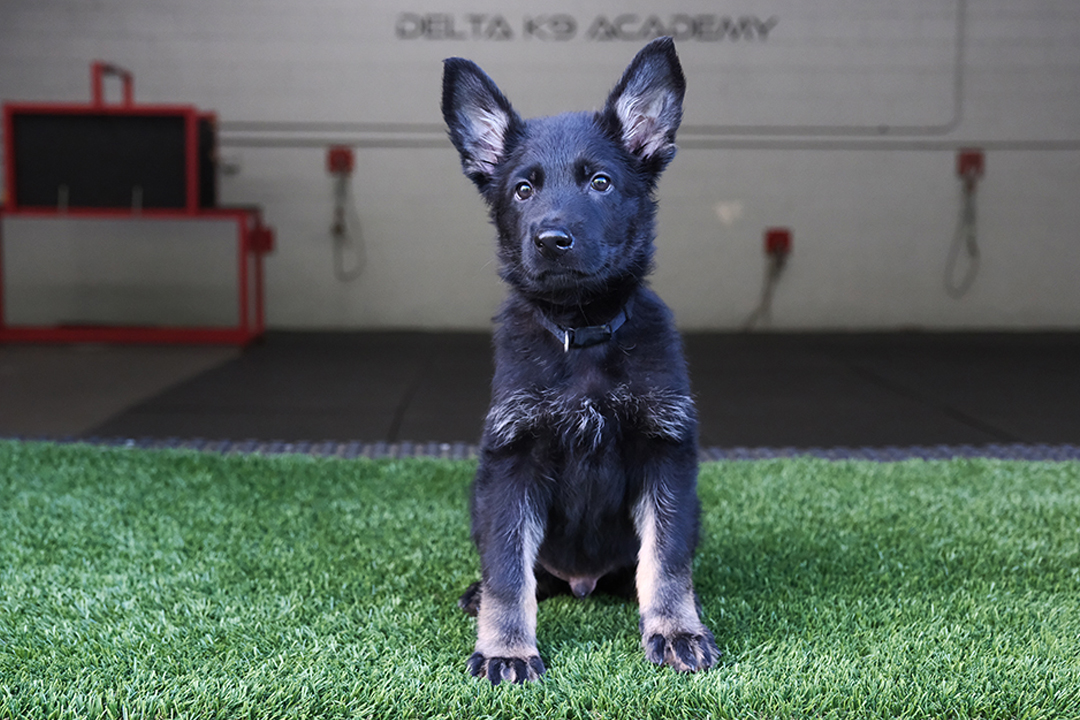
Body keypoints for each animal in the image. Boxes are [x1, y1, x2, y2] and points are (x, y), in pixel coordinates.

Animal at [442, 36, 717, 685]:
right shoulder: (512, 464)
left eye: (600, 182)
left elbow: (666, 561)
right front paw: (507, 648)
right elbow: (508, 572)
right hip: (479, 497)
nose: (551, 240)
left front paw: (676, 629)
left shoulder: (665, 456)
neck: (583, 332)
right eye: (523, 189)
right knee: (523, 571)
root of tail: (583, 581)